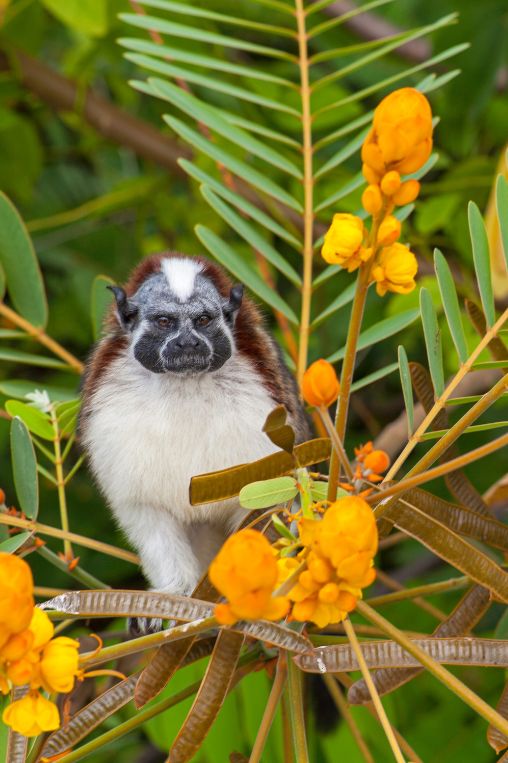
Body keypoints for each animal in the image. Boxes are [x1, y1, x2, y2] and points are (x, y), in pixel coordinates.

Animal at [79, 253, 309, 611]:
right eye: (164, 322)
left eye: (202, 320)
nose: (187, 343)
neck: (184, 385)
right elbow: (149, 514)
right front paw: (174, 594)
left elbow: (263, 509)